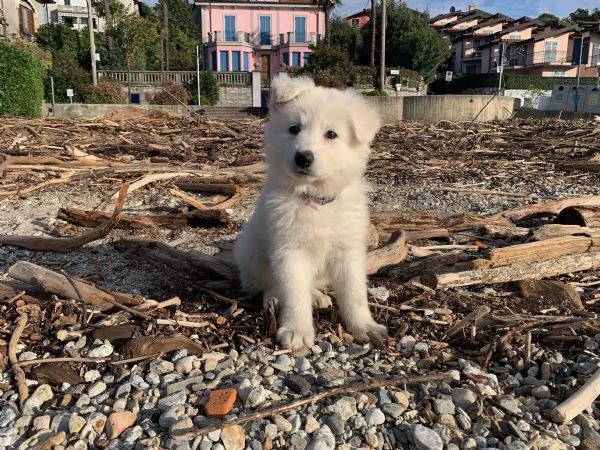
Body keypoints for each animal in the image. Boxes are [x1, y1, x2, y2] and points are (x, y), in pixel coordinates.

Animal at [232, 76, 386, 352]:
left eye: (331, 134)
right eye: (294, 129)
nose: (303, 157)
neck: (315, 199)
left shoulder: (348, 252)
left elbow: (354, 293)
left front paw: (364, 326)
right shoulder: (290, 251)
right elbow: (294, 294)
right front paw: (296, 330)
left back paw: (316, 295)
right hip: (249, 250)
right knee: (265, 284)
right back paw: (274, 298)